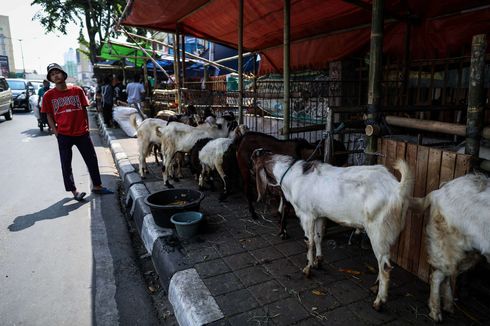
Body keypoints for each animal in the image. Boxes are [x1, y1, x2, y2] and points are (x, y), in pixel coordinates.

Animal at [253, 150, 414, 310]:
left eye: (253, 160)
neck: (292, 174)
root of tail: (398, 189)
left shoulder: (307, 215)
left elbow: (309, 241)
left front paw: (308, 268)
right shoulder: (319, 215)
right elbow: (318, 237)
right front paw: (318, 261)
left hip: (378, 232)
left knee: (385, 266)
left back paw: (379, 301)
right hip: (388, 234)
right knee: (385, 261)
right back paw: (375, 287)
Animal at [412, 174, 488, 322]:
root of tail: (437, 193)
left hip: (469, 253)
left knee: (446, 275)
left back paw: (448, 306)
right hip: (453, 247)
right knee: (437, 276)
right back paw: (436, 312)